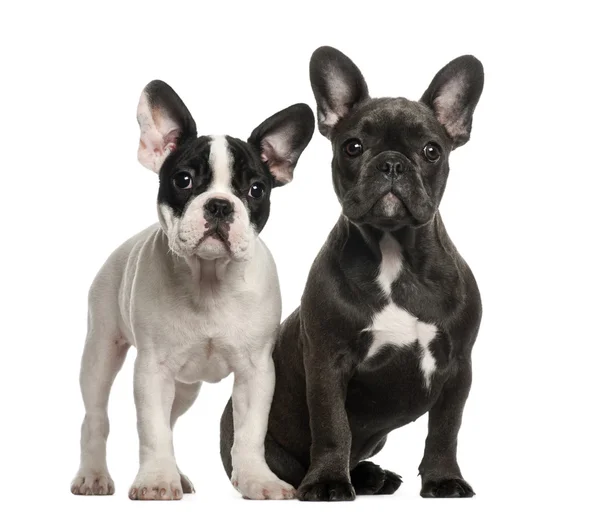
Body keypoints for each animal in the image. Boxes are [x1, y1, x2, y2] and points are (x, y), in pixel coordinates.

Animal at [70, 79, 314, 500]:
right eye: (183, 180)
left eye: (256, 189)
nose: (219, 205)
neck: (210, 279)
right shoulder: (152, 370)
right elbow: (151, 429)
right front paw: (155, 480)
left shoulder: (256, 373)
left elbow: (249, 432)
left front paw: (258, 479)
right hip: (101, 351)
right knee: (96, 416)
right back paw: (93, 475)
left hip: (185, 387)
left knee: (170, 419)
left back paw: (177, 474)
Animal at [223, 48, 486, 500]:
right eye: (353, 146)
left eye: (432, 150)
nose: (392, 163)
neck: (394, 252)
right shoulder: (328, 359)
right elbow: (332, 425)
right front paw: (327, 482)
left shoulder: (459, 365)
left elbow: (445, 429)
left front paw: (443, 479)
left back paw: (371, 476)